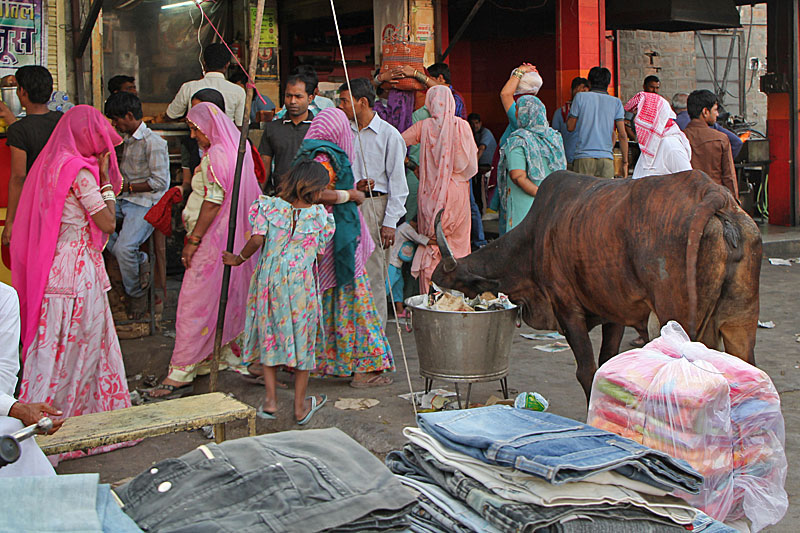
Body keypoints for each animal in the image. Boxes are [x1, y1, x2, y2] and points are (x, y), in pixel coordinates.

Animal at [432, 170, 764, 400]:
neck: (536, 236)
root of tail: (714, 194)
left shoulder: (567, 309)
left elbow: (587, 370)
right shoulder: (614, 312)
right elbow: (607, 362)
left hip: (680, 318)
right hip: (739, 324)